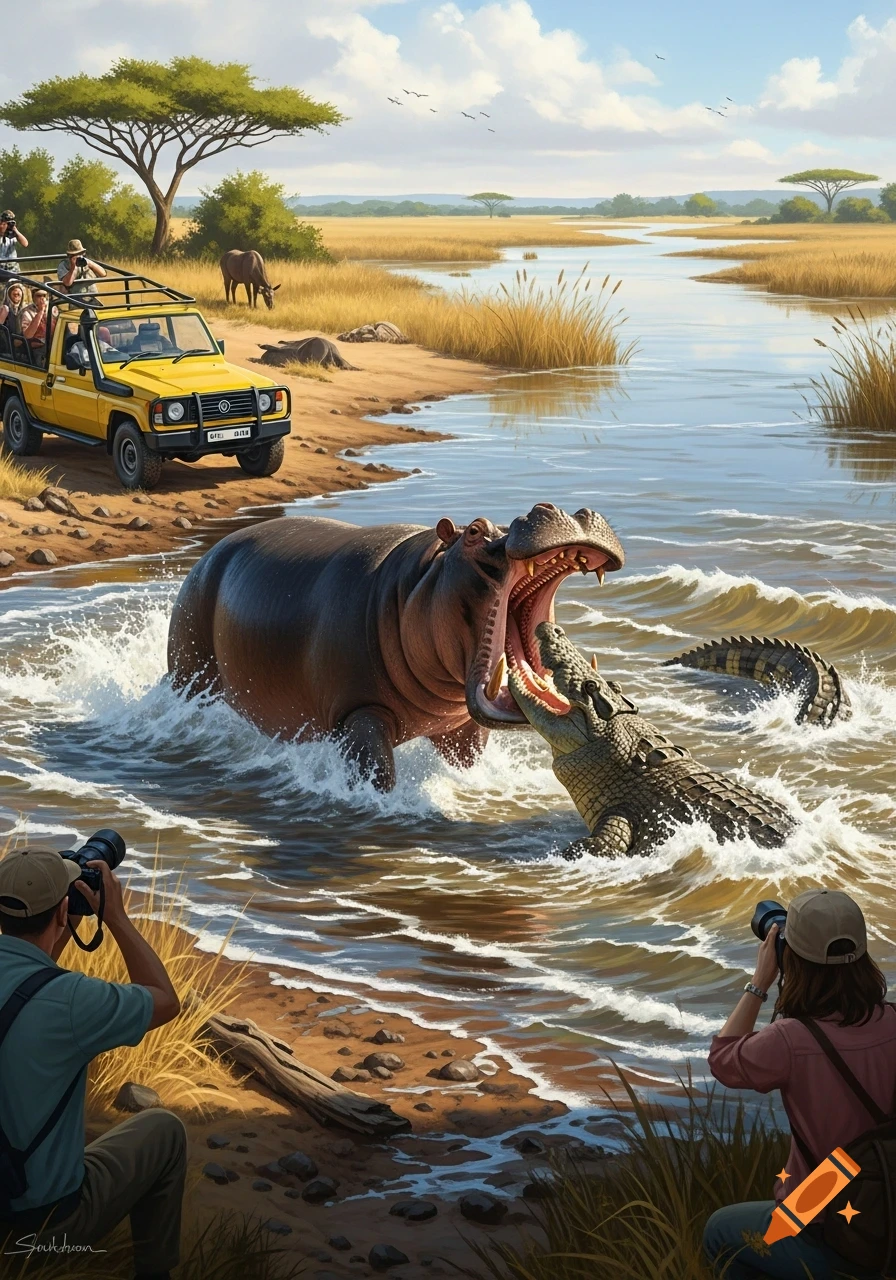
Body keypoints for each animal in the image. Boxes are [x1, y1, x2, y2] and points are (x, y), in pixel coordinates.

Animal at [166, 504, 624, 790]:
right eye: (475, 531)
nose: (565, 511)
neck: (415, 584)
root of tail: (206, 556)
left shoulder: (461, 727)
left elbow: (467, 761)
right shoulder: (359, 714)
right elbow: (379, 775)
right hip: (189, 671)